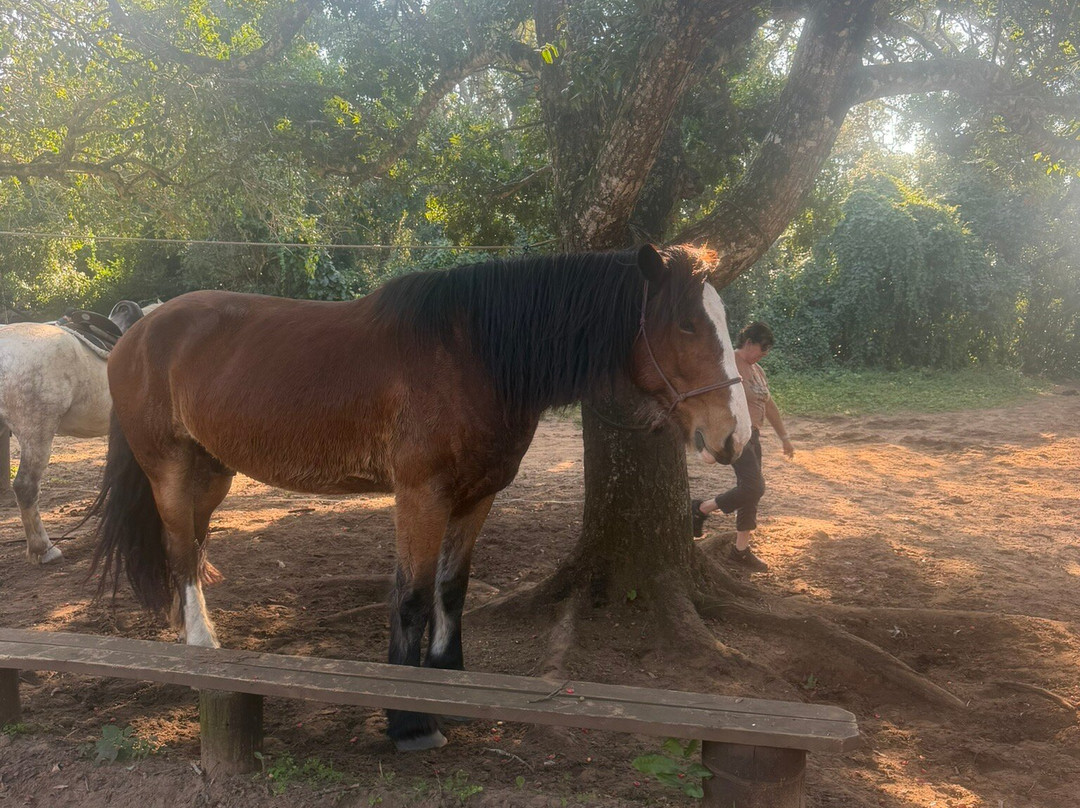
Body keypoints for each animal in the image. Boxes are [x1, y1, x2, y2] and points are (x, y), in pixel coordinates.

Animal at [90, 244, 752, 751]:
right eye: (686, 324)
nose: (735, 435)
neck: (473, 356)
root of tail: (134, 333)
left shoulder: (477, 497)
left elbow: (450, 590)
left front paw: (448, 683)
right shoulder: (421, 497)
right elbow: (410, 597)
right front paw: (409, 718)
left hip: (212, 472)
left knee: (191, 546)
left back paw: (186, 625)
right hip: (170, 469)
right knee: (181, 549)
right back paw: (201, 648)